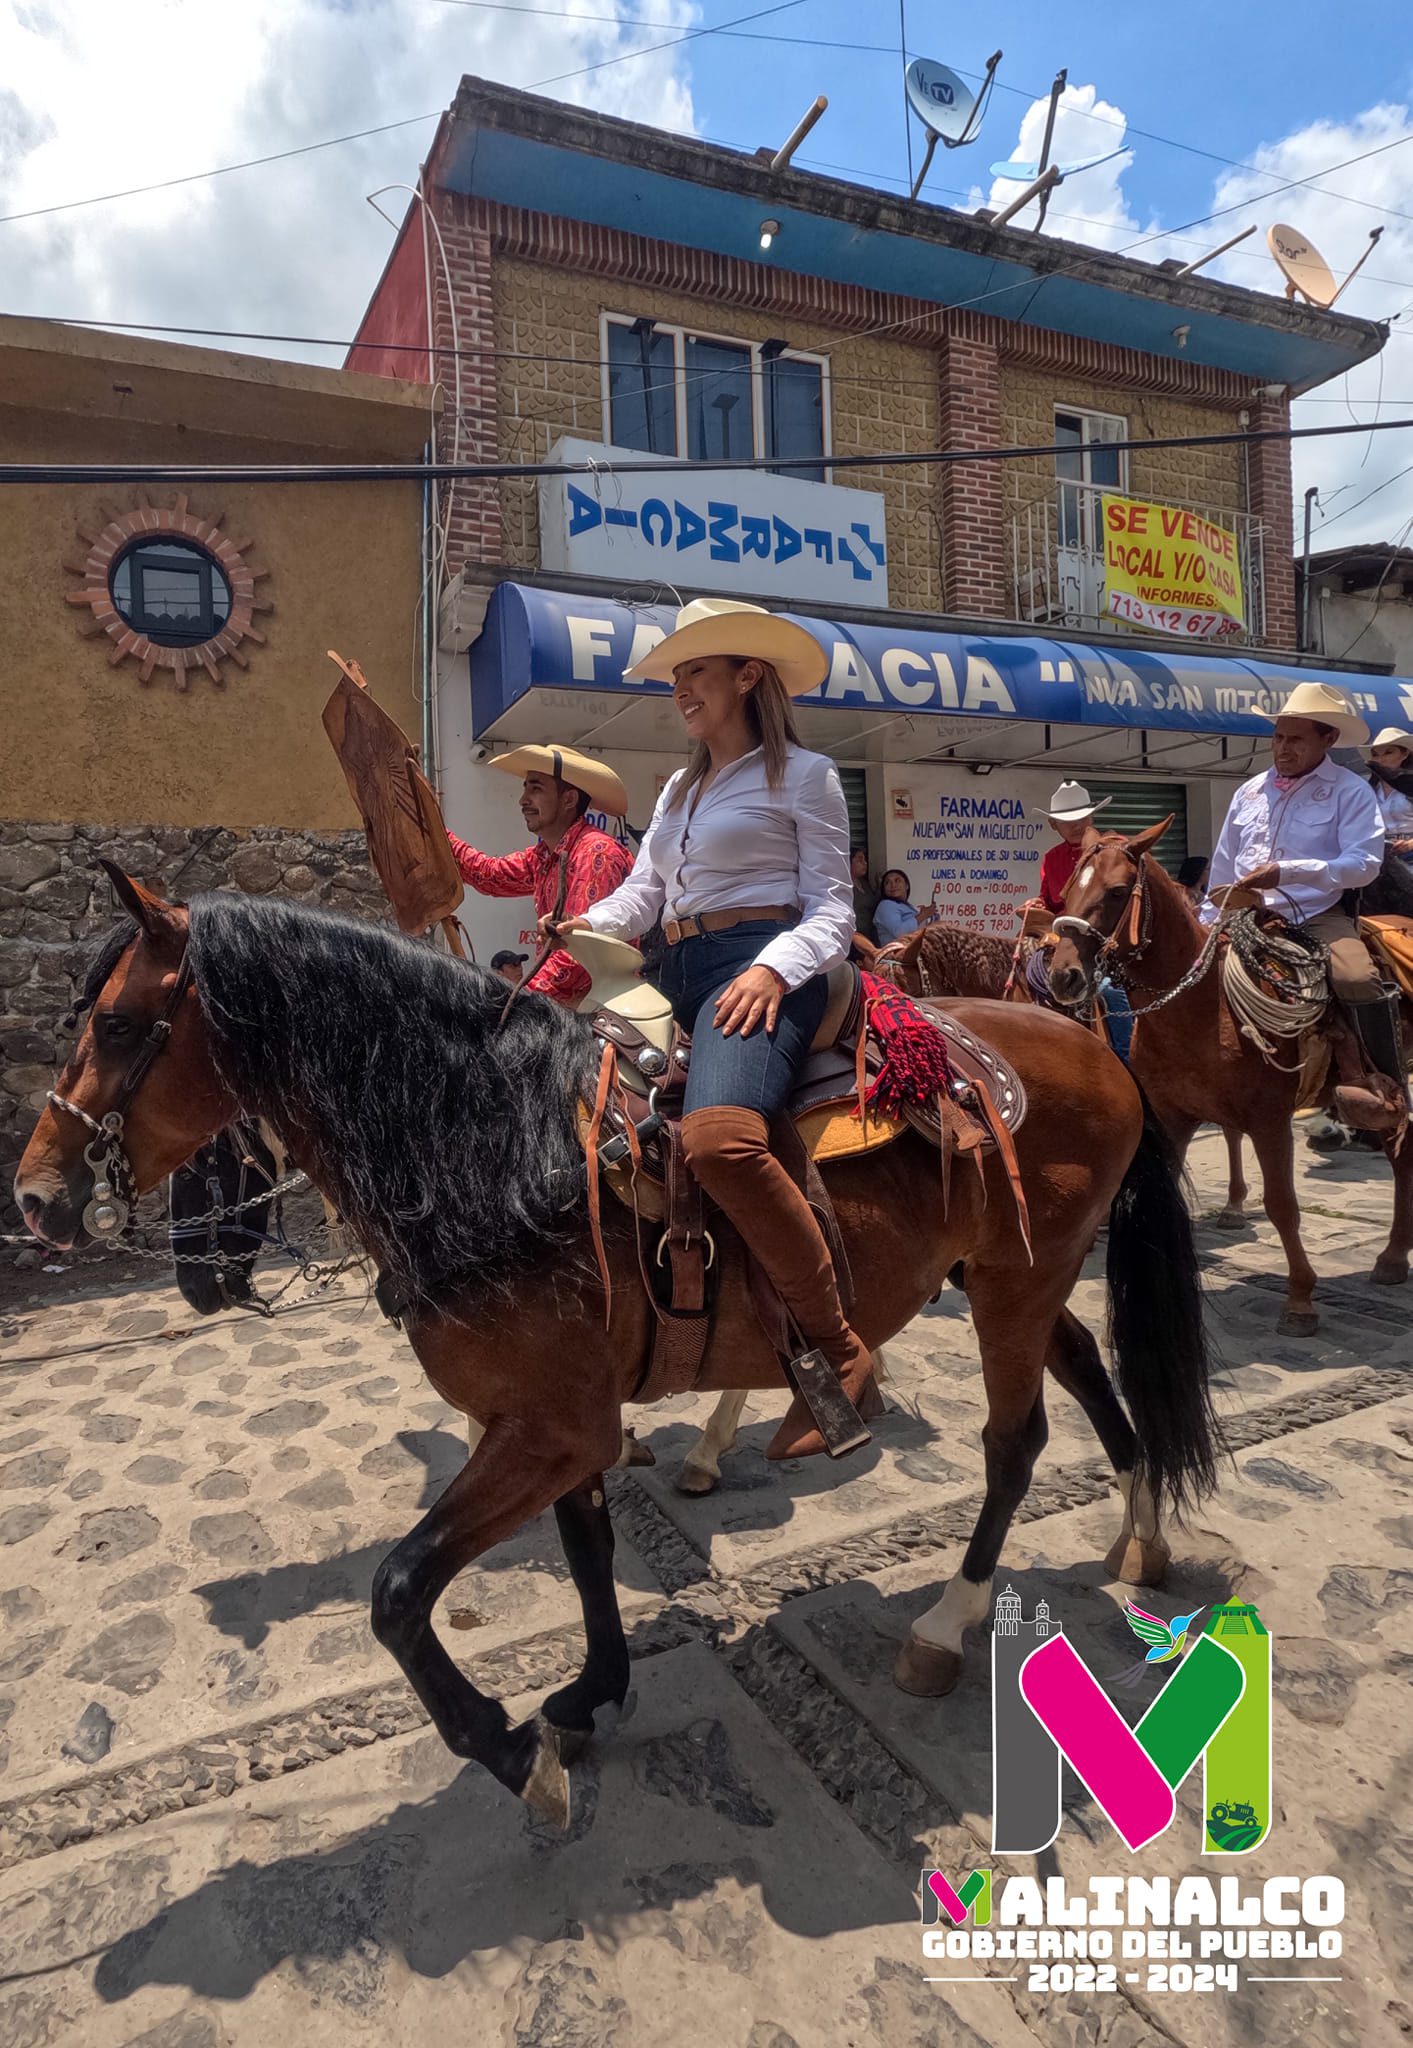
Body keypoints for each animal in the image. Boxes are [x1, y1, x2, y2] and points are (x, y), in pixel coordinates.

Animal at [13, 872, 1212, 1835]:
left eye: (119, 1026)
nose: (37, 1196)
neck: (500, 1147)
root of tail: (1095, 1047)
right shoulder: (562, 1421)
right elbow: (590, 1556)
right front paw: (591, 1694)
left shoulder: (548, 1427)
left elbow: (398, 1593)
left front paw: (517, 1757)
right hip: (1008, 1277)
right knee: (1091, 1377)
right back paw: (1140, 1537)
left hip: (1012, 1286)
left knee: (1014, 1441)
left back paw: (947, 1623)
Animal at [1044, 823, 1408, 1335]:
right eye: (1066, 892)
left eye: (1116, 892)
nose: (1065, 977)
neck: (1202, 1005)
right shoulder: (1172, 1118)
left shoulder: (1270, 1121)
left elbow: (1282, 1205)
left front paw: (1301, 1299)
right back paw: (1394, 1256)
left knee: (1401, 1155)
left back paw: (1392, 1255)